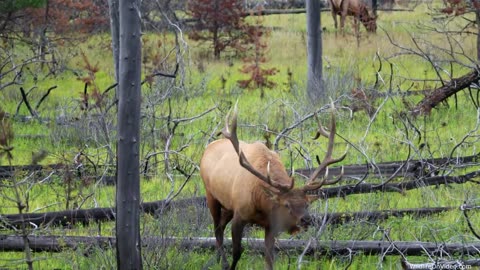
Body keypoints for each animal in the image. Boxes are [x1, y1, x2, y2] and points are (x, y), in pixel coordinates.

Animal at [201, 102, 346, 268]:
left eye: (307, 204)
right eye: (286, 205)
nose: (306, 220)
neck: (261, 203)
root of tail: (208, 147)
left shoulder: (270, 224)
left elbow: (269, 259)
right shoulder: (240, 214)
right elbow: (237, 252)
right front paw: (230, 266)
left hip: (228, 205)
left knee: (220, 227)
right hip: (211, 195)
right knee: (217, 230)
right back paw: (223, 263)